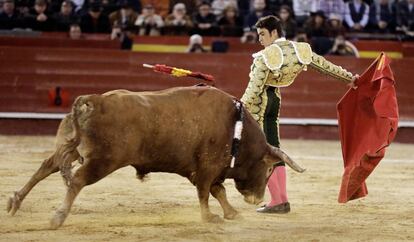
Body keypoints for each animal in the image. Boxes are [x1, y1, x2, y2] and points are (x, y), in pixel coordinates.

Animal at [5, 86, 304, 229]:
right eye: (268, 170)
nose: (257, 199)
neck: (236, 127)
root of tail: (96, 100)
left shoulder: (207, 169)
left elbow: (218, 191)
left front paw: (231, 213)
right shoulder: (207, 167)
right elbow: (207, 192)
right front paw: (209, 217)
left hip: (72, 147)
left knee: (47, 166)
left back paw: (14, 202)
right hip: (103, 161)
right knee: (76, 181)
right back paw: (57, 217)